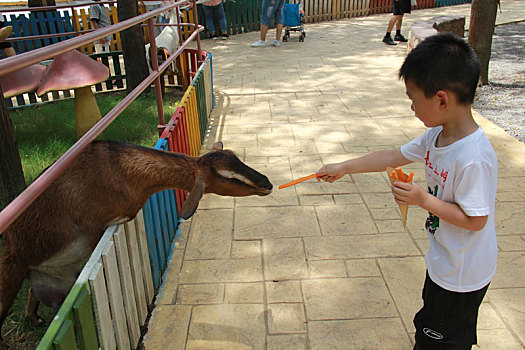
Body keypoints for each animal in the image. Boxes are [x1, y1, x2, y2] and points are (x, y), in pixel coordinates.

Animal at [0, 139, 270, 348]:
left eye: (236, 157)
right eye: (226, 177)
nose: (267, 183)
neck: (122, 171)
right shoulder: (93, 230)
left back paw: (34, 318)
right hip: (11, 267)